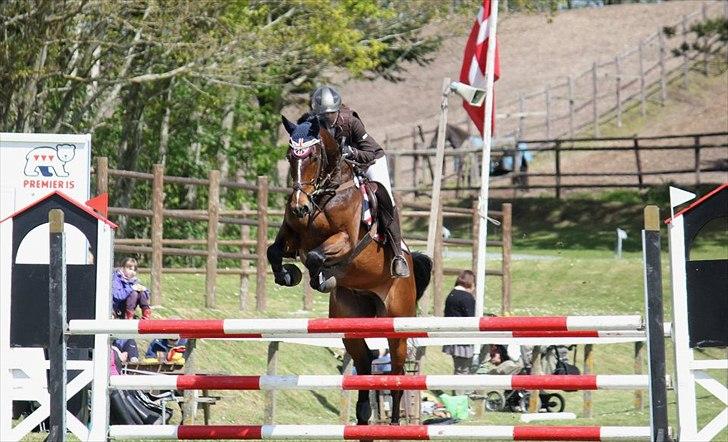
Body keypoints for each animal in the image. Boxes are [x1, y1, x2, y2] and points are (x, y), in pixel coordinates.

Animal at [268, 114, 432, 432]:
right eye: (290, 156)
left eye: (313, 156)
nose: (298, 206)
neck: (324, 194)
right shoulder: (292, 236)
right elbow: (274, 251)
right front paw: (287, 275)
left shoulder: (345, 240)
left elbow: (317, 256)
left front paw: (322, 277)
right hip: (350, 318)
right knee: (365, 360)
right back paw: (363, 415)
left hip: (396, 322)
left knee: (397, 371)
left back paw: (394, 423)